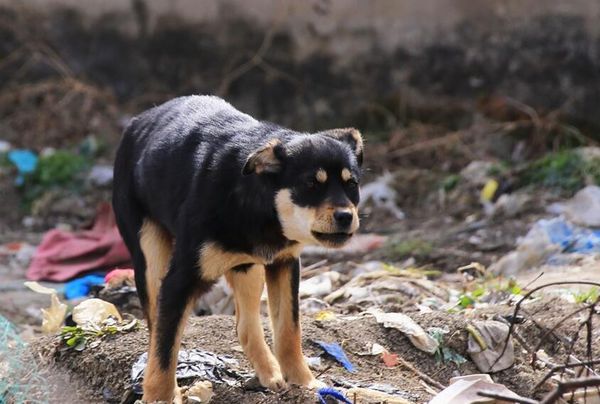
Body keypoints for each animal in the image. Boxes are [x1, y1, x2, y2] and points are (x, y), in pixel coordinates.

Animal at [115, 95, 364, 400]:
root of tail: (139, 121)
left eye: (352, 184)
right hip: (150, 257)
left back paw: (269, 372)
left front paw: (304, 383)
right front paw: (161, 398)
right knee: (154, 331)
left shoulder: (285, 263)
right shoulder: (178, 281)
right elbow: (164, 350)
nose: (345, 217)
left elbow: (289, 330)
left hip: (247, 267)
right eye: (310, 184)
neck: (259, 203)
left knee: (245, 325)